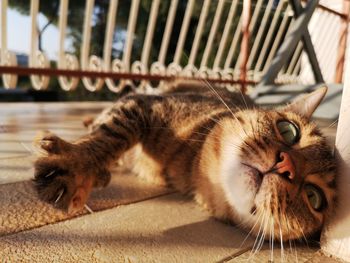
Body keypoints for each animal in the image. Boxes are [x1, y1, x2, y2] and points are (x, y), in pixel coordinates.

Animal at [32, 81, 336, 243]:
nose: (286, 166)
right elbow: (113, 133)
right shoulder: (145, 103)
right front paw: (76, 165)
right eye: (289, 130)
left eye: (314, 197)